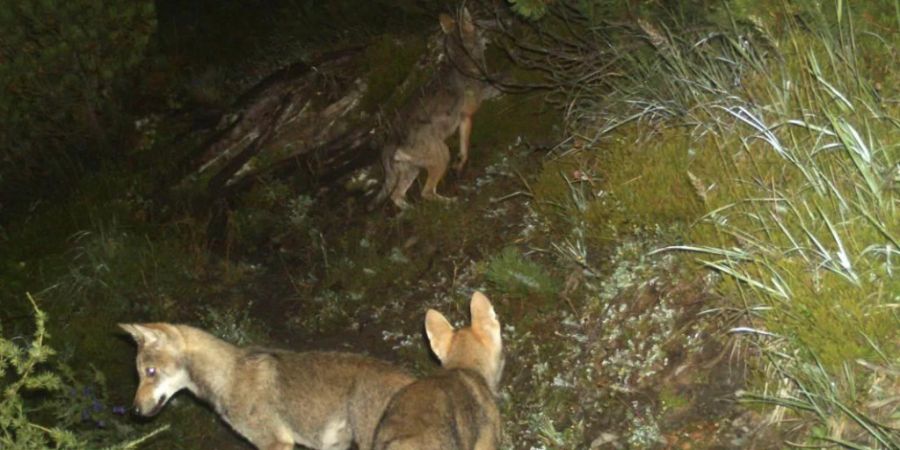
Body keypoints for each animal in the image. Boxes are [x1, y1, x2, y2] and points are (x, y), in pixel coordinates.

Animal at [370, 6, 488, 211]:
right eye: (475, 23)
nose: (485, 31)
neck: (461, 61)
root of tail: (390, 142)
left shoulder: (464, 120)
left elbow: (463, 150)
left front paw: (458, 166)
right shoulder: (467, 116)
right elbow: (465, 149)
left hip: (413, 170)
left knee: (397, 196)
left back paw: (410, 211)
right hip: (442, 156)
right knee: (426, 193)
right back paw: (451, 202)